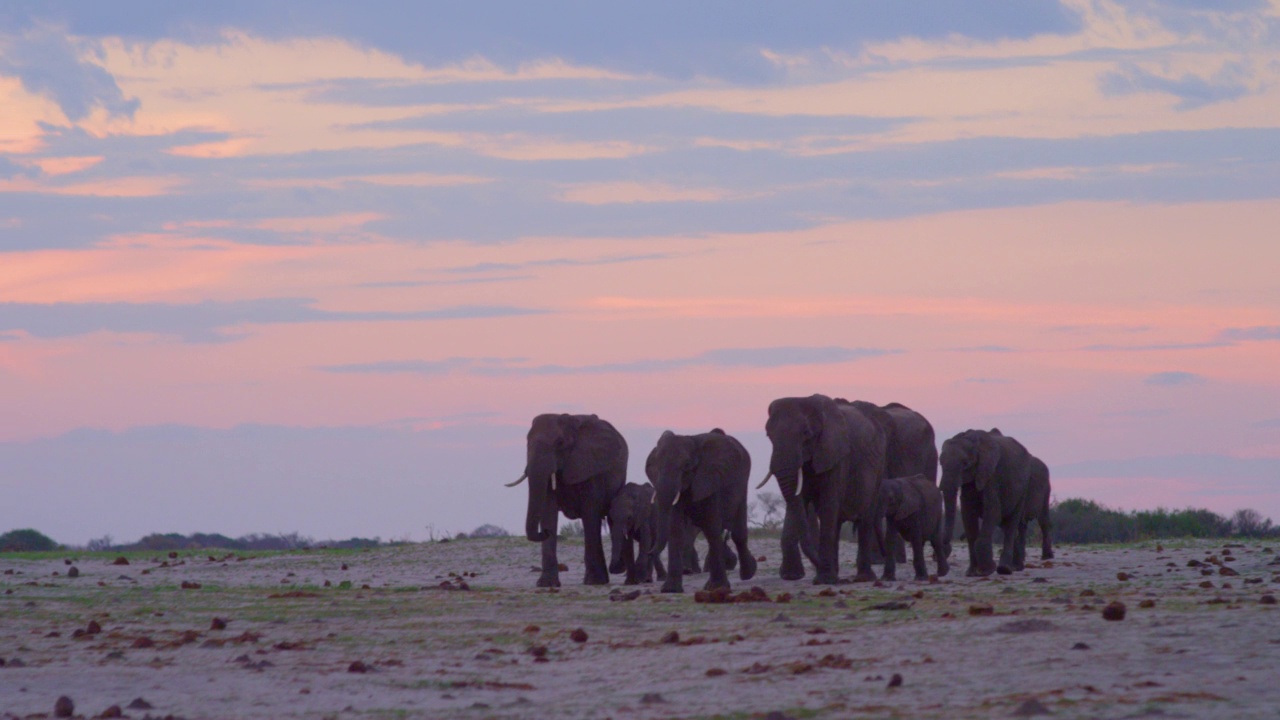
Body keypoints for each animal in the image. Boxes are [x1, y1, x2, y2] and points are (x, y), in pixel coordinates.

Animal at [509, 412, 629, 586]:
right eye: (527, 441)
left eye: (560, 443)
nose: (544, 532)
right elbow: (548, 509)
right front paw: (546, 584)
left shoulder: (590, 465)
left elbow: (590, 513)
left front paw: (594, 581)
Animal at [645, 425, 752, 589]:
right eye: (655, 466)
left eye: (686, 466)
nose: (649, 552)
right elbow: (675, 529)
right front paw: (670, 589)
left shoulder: (710, 478)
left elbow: (711, 526)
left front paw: (717, 587)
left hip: (743, 481)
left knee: (738, 531)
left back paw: (748, 574)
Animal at [757, 392, 890, 584]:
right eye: (769, 435)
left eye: (806, 433)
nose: (842, 580)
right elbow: (797, 501)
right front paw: (792, 576)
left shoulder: (836, 454)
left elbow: (828, 504)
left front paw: (824, 579)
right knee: (838, 521)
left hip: (879, 466)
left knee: (865, 517)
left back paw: (861, 578)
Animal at [936, 427, 1034, 573]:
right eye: (940, 462)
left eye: (965, 464)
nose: (945, 547)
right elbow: (968, 514)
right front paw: (972, 573)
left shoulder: (991, 474)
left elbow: (992, 511)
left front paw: (988, 569)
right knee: (1006, 525)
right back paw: (1016, 567)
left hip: (1024, 487)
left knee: (1012, 523)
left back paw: (1005, 569)